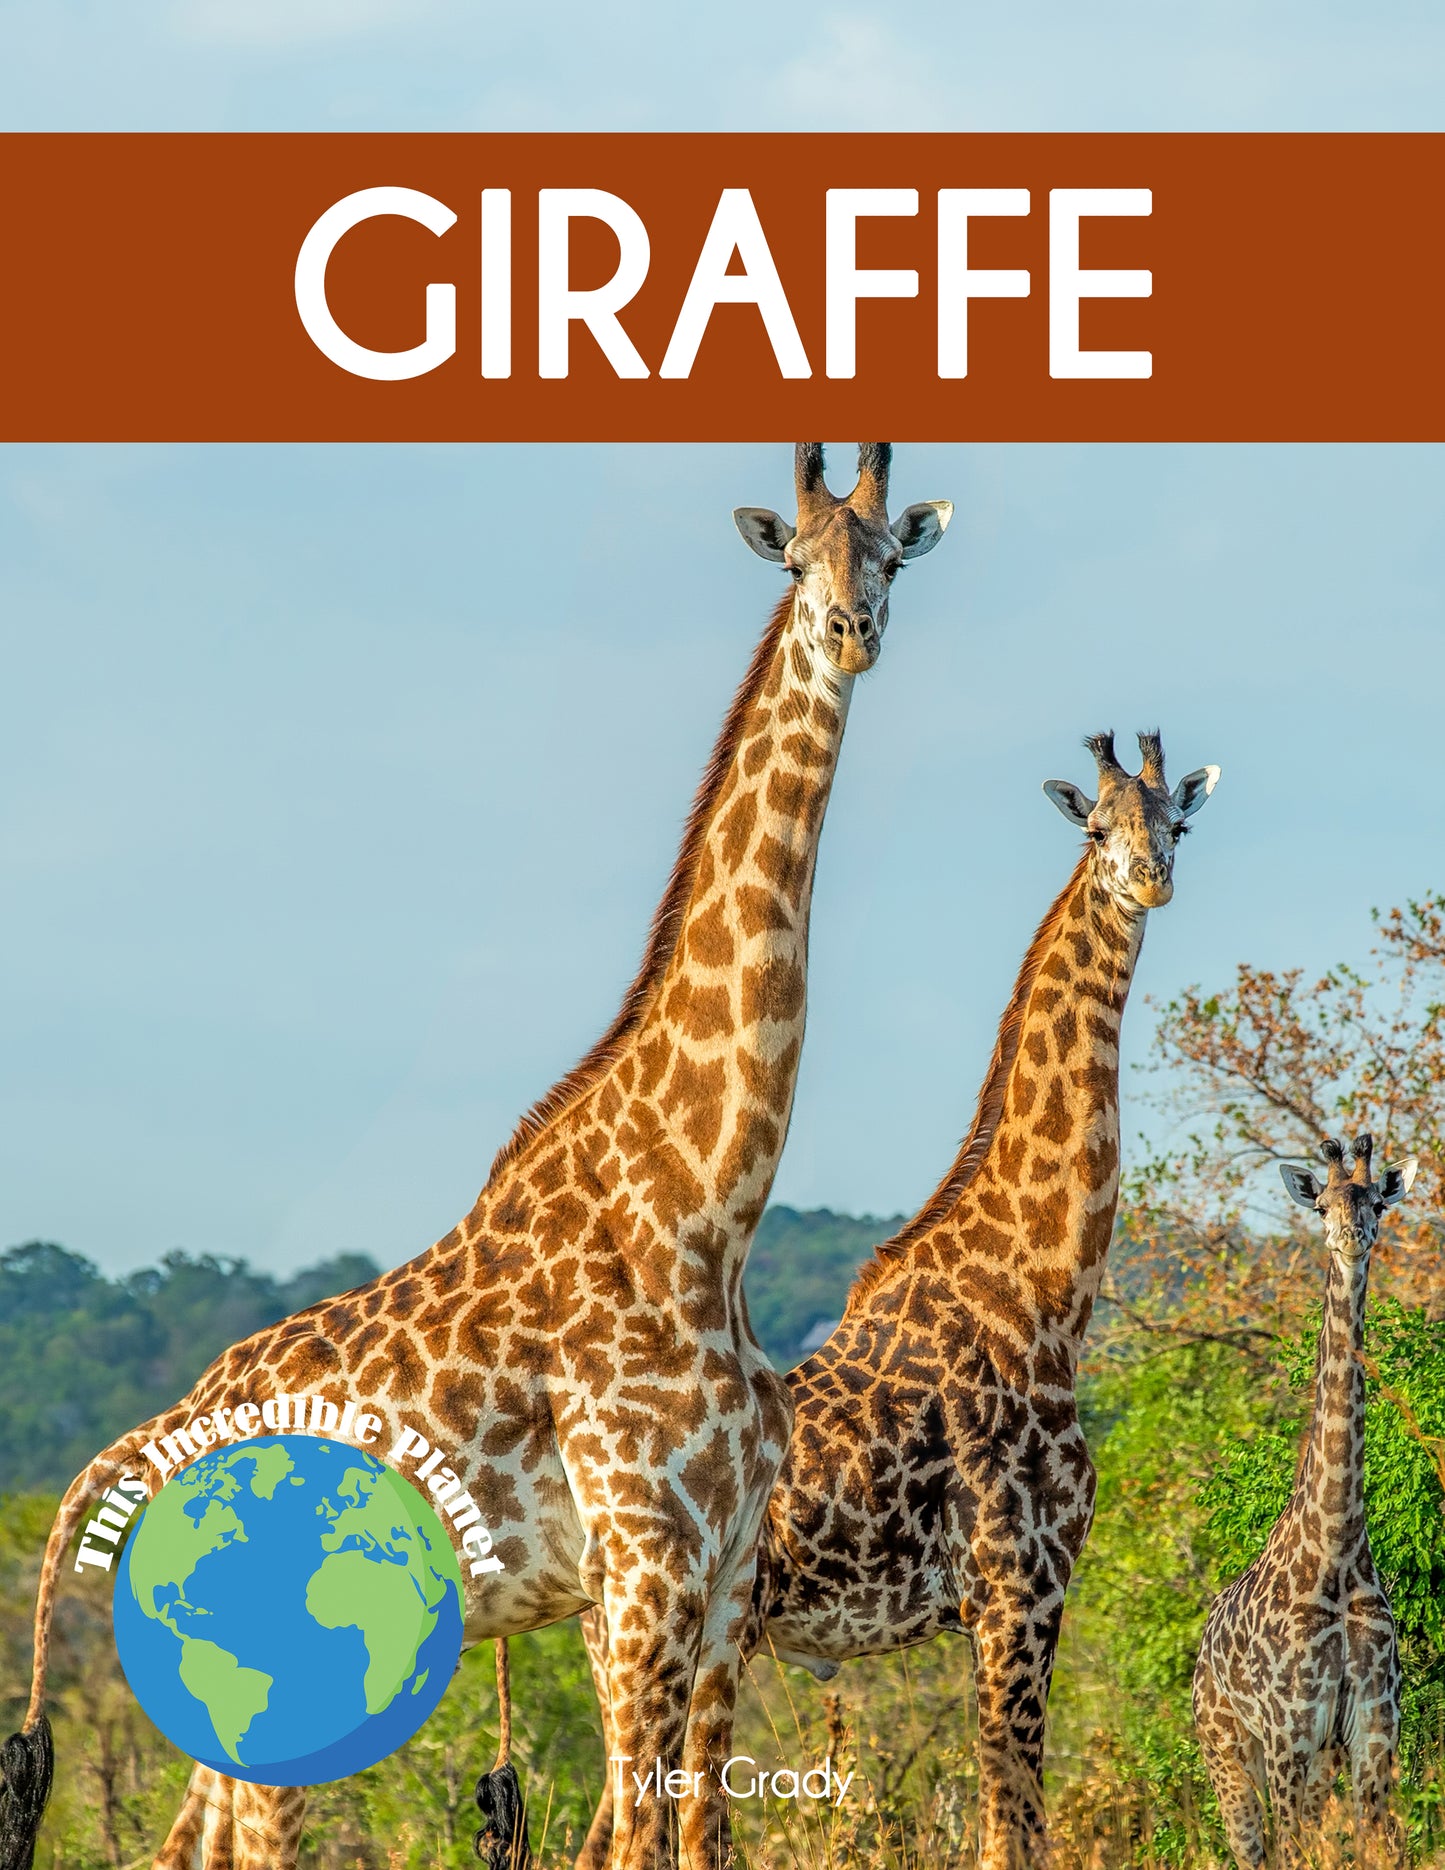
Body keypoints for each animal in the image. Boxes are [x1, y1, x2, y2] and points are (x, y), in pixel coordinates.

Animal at [0, 443, 953, 1870]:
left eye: (889, 552)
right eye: (796, 559)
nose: (852, 632)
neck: (704, 1206)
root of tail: (159, 1436)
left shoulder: (722, 1581)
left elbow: (696, 1833)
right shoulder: (641, 1568)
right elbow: (633, 1839)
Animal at [572, 729, 1221, 1870]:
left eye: (1176, 822)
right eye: (1096, 829)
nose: (1150, 877)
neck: (1041, 1293)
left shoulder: (1011, 1601)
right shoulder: (1016, 1588)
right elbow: (1012, 1827)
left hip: (634, 1647)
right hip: (695, 1638)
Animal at [1193, 1133, 1416, 1869]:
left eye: (1376, 1200)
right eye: (1321, 1202)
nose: (1351, 1235)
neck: (1337, 1549)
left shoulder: (1373, 1732)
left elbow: (1378, 1849)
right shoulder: (1288, 1733)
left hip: (1318, 1762)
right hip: (1227, 1750)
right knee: (1250, 1848)